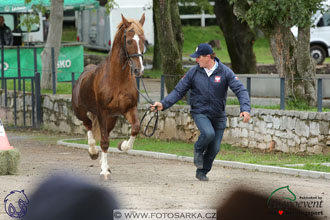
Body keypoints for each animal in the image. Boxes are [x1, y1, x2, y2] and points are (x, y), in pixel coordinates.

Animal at [72, 13, 146, 180]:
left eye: (144, 40)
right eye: (129, 40)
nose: (139, 70)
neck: (116, 79)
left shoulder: (129, 109)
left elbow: (135, 128)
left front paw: (123, 146)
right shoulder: (102, 113)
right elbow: (104, 141)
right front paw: (104, 172)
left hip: (111, 119)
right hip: (81, 112)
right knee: (88, 126)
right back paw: (92, 152)